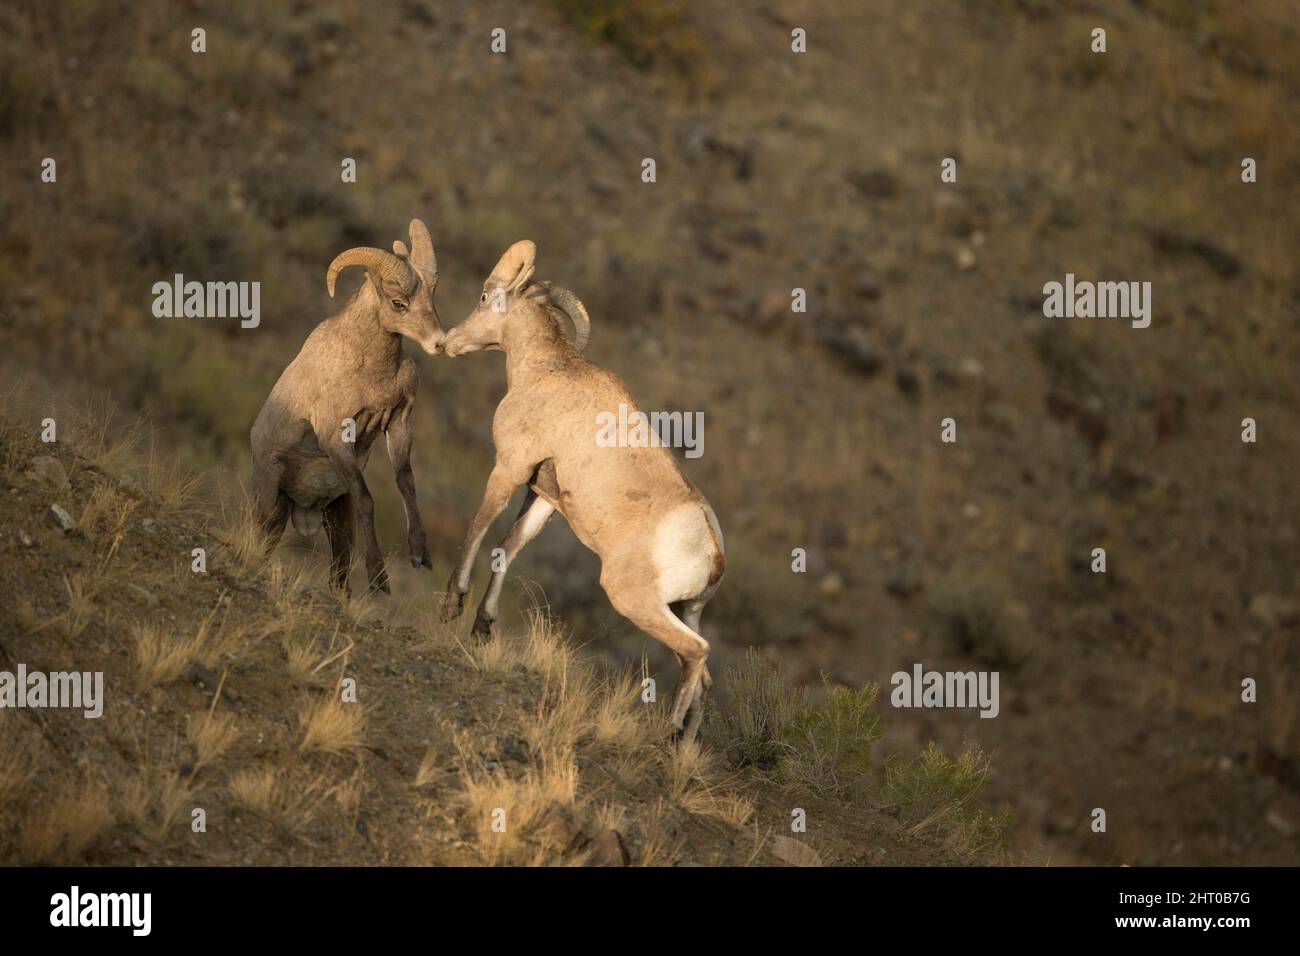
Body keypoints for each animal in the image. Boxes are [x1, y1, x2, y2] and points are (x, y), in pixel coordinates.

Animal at [248, 221, 447, 600]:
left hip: (336, 516)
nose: (439, 343)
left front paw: (421, 555)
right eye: (398, 303)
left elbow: (407, 483)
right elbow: (367, 500)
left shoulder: (399, 423)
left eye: (432, 298)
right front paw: (379, 580)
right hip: (270, 507)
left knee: (338, 576)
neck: (372, 368)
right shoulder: (336, 439)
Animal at [444, 243, 733, 743]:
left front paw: (453, 605)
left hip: (634, 601)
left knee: (696, 652)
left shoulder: (509, 469)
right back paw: (684, 746)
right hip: (683, 608)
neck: (545, 373)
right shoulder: (544, 500)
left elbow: (479, 527)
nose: (449, 342)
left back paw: (666, 734)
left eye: (484, 296)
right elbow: (508, 547)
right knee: (704, 674)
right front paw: (482, 625)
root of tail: (710, 551)